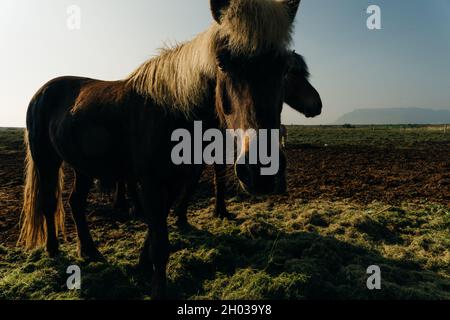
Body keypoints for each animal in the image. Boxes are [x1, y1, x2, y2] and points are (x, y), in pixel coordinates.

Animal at [20, 0, 302, 300]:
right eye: (222, 63)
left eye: (285, 67)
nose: (261, 171)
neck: (173, 111)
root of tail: (42, 92)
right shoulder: (152, 182)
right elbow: (160, 243)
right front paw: (157, 288)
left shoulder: (173, 182)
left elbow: (156, 233)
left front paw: (142, 267)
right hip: (46, 161)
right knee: (48, 203)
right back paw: (53, 250)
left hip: (83, 167)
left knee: (75, 202)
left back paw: (90, 251)